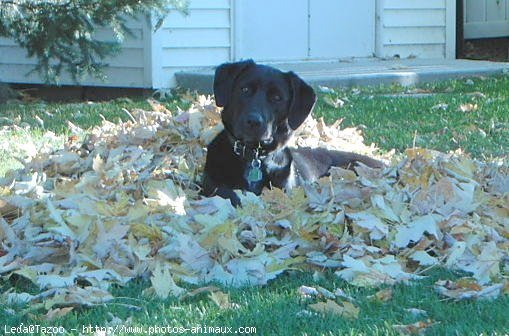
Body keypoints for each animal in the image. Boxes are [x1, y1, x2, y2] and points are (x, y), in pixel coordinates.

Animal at [202, 61, 380, 207]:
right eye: (245, 89)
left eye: (277, 98)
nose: (253, 121)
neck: (254, 157)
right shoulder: (211, 185)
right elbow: (227, 193)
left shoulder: (285, 191)